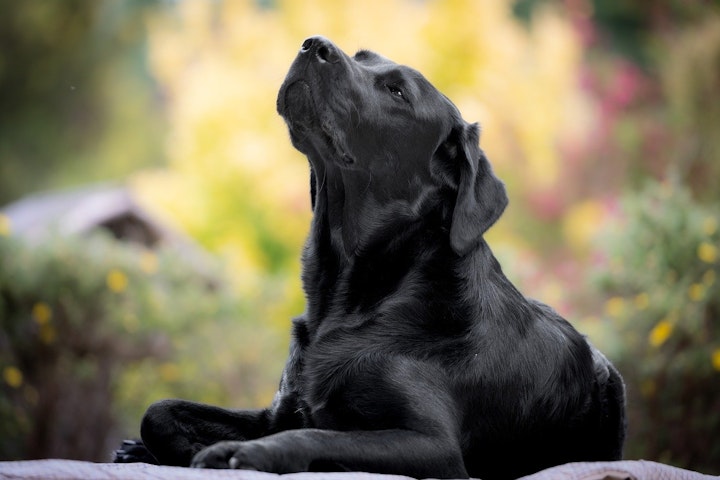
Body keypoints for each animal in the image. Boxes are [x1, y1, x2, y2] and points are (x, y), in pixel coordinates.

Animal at [114, 35, 624, 478]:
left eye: (397, 90)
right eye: (361, 57)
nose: (313, 44)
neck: (358, 291)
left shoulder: (433, 446)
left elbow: (316, 436)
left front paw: (238, 453)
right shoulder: (279, 408)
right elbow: (159, 410)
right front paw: (169, 448)